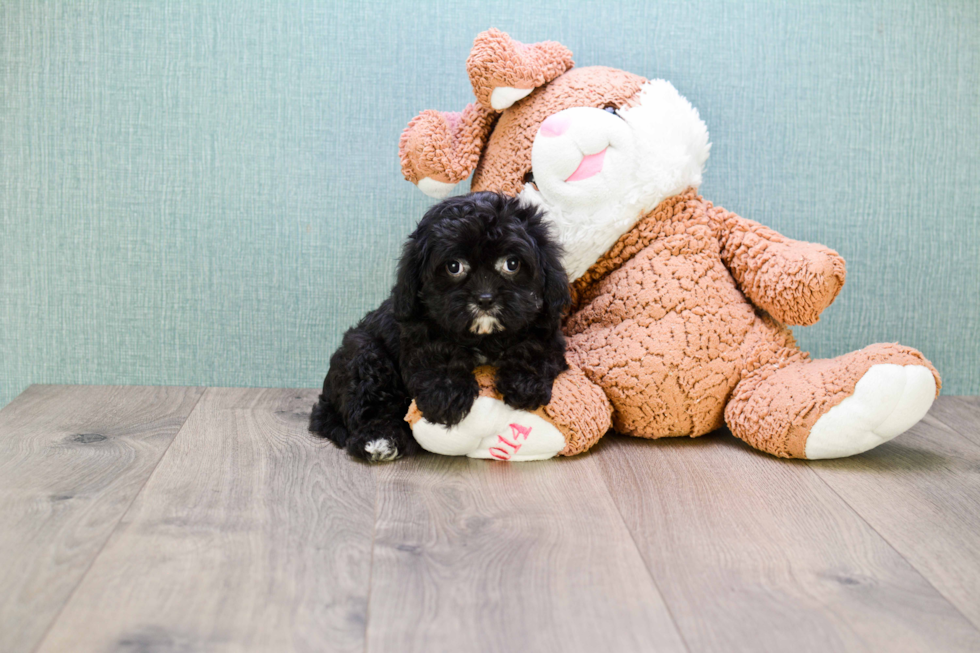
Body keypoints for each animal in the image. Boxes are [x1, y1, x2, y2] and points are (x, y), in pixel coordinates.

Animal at [310, 191, 572, 460]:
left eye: (512, 264)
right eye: (454, 266)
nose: (485, 298)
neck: (483, 337)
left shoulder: (546, 327)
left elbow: (534, 347)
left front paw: (524, 383)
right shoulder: (417, 329)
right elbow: (437, 354)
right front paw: (446, 395)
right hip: (365, 355)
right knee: (369, 404)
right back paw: (380, 440)